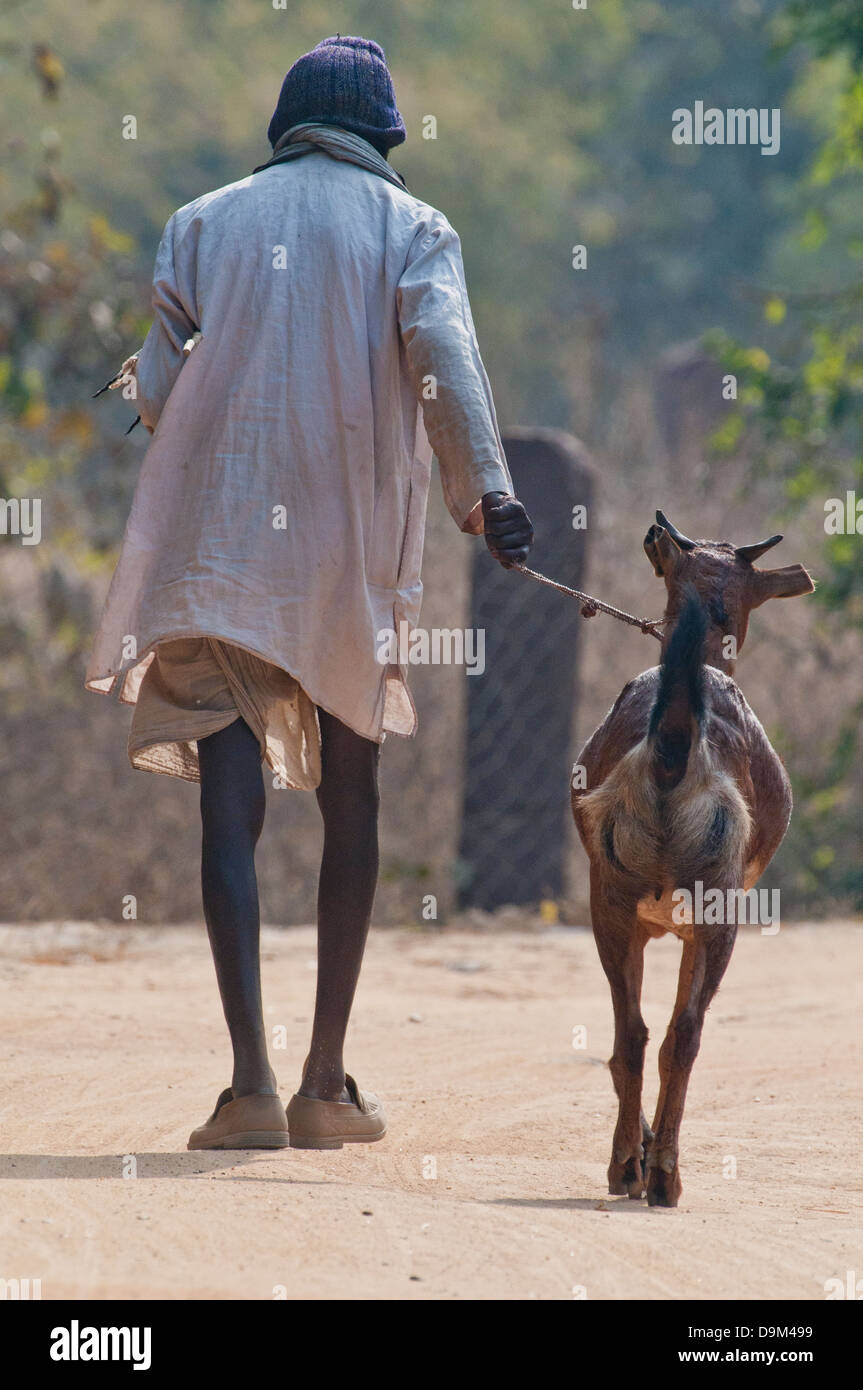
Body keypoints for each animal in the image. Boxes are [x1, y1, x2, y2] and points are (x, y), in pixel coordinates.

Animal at [571, 510, 814, 1207]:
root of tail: (674, 746)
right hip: (716, 905)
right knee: (683, 1033)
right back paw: (661, 1176)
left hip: (612, 897)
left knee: (632, 1034)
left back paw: (629, 1166)